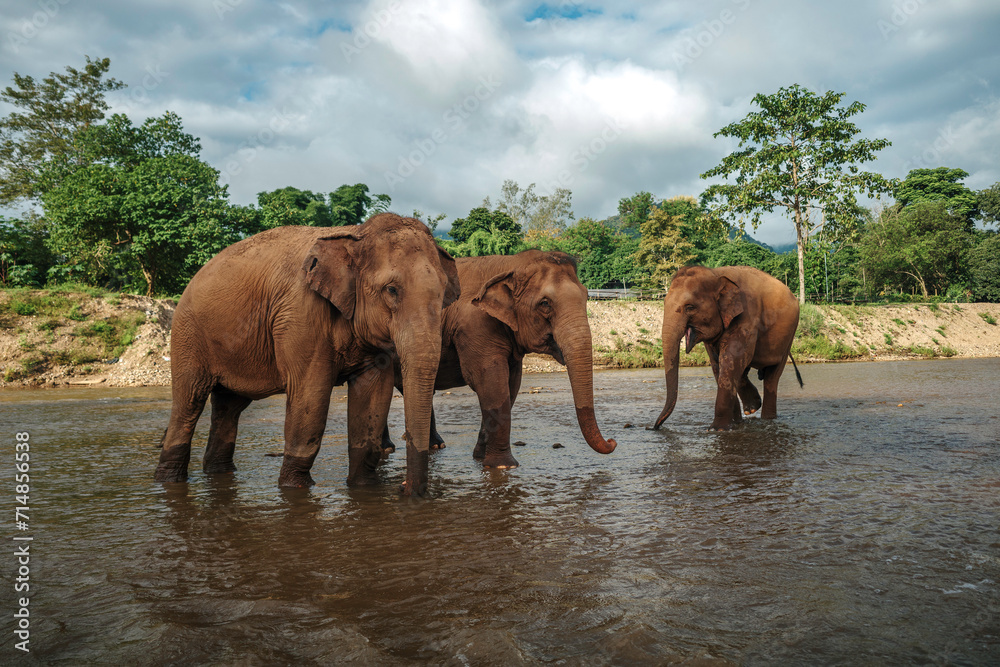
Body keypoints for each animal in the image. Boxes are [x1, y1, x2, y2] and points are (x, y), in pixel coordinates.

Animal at [155, 213, 460, 496]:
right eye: (392, 290)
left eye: (443, 294)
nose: (404, 489)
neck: (357, 234)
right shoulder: (300, 315)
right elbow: (311, 395)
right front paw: (295, 488)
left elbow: (373, 397)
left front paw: (364, 488)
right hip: (188, 334)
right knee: (189, 401)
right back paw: (168, 480)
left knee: (229, 406)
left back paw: (218, 472)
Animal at [384, 249, 616, 468]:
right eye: (545, 303)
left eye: (586, 297)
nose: (612, 441)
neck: (510, 264)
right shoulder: (474, 326)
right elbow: (491, 383)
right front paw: (504, 465)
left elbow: (511, 385)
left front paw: (480, 458)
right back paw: (388, 448)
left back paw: (435, 446)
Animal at [653, 265, 802, 431]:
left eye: (690, 307)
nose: (653, 427)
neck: (715, 274)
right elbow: (719, 365)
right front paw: (734, 424)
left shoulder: (746, 317)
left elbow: (731, 360)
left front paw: (716, 429)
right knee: (743, 371)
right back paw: (752, 408)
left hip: (789, 335)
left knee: (772, 377)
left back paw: (767, 418)